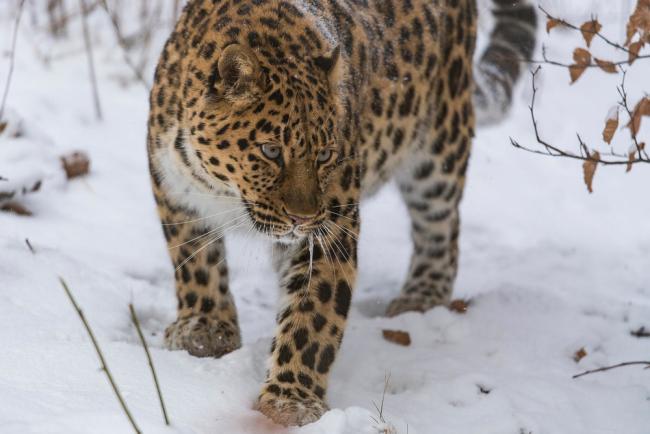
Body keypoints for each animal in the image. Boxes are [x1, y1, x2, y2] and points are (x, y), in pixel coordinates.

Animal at [147, 0, 536, 428]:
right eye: (270, 151)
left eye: (324, 155)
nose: (302, 218)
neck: (224, 189)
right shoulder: (175, 193)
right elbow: (196, 265)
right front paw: (205, 329)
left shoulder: (331, 229)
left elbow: (312, 317)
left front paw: (291, 402)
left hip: (439, 147)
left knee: (441, 227)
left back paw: (421, 295)